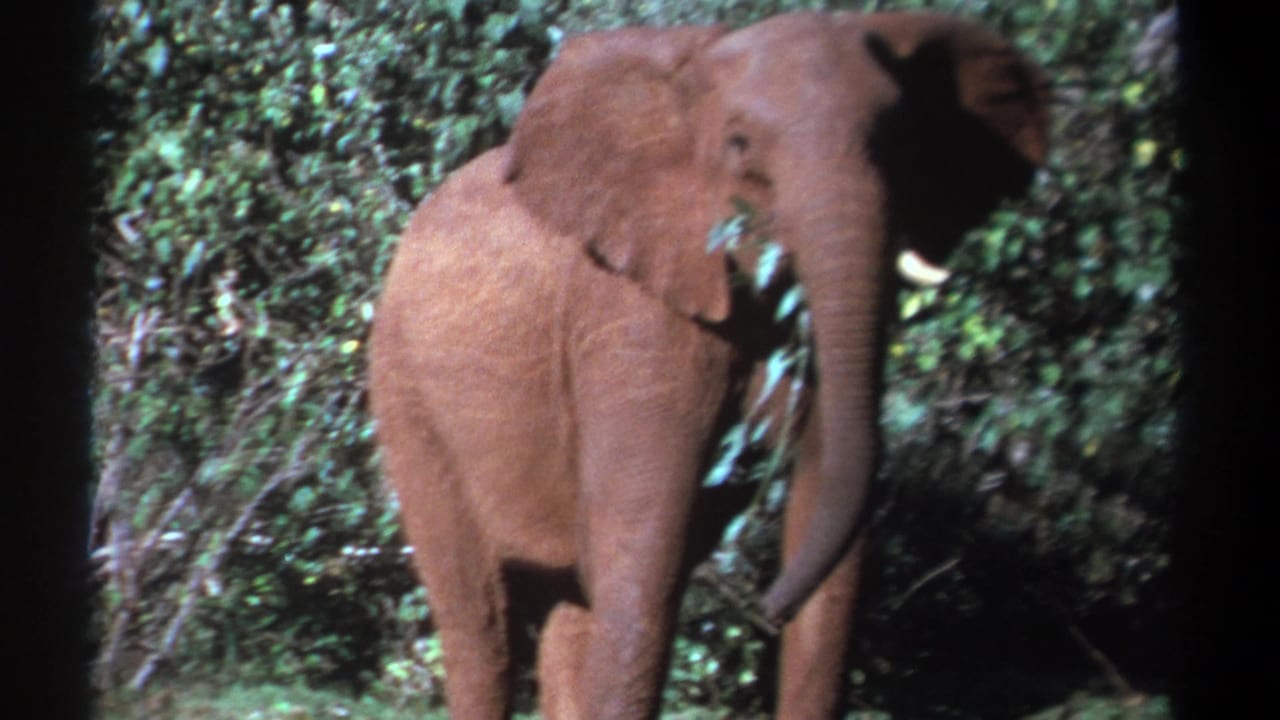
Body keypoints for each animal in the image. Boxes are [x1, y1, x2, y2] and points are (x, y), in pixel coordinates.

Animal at [368, 10, 1049, 719]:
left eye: (900, 142)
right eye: (741, 145)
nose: (770, 608)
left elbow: (831, 519)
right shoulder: (630, 309)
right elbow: (644, 553)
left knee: (567, 607)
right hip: (404, 389)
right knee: (481, 620)